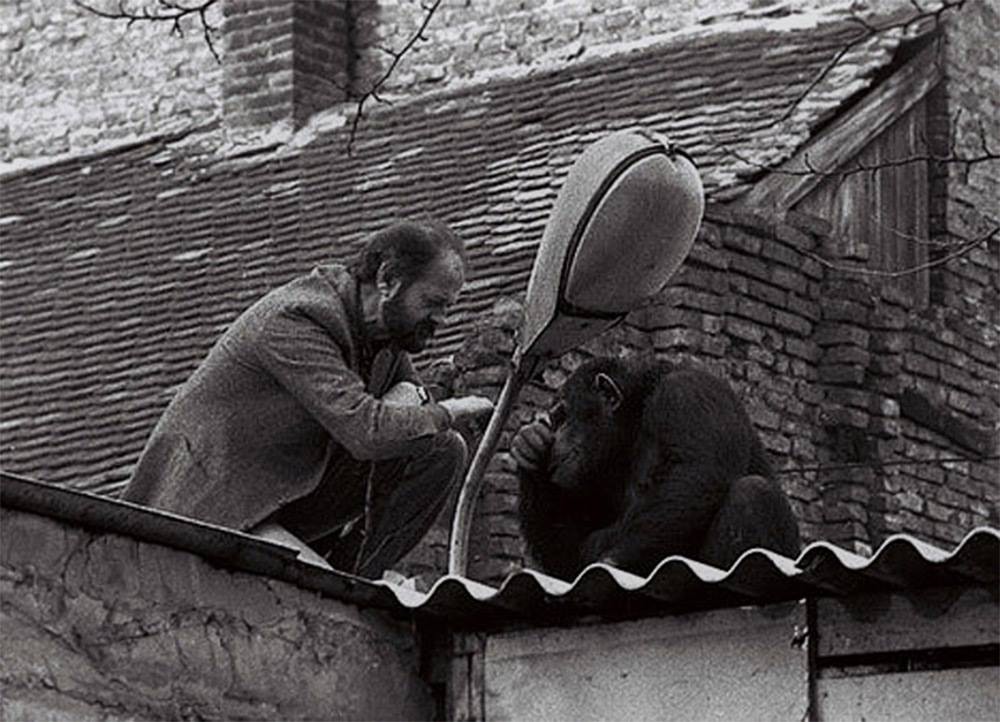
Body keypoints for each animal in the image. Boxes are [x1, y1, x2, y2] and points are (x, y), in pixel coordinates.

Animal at [512, 354, 800, 580]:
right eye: (556, 421)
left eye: (562, 417)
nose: (555, 438)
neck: (634, 422)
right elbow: (568, 555)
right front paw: (530, 444)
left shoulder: (687, 393)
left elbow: (698, 473)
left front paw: (610, 563)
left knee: (753, 493)